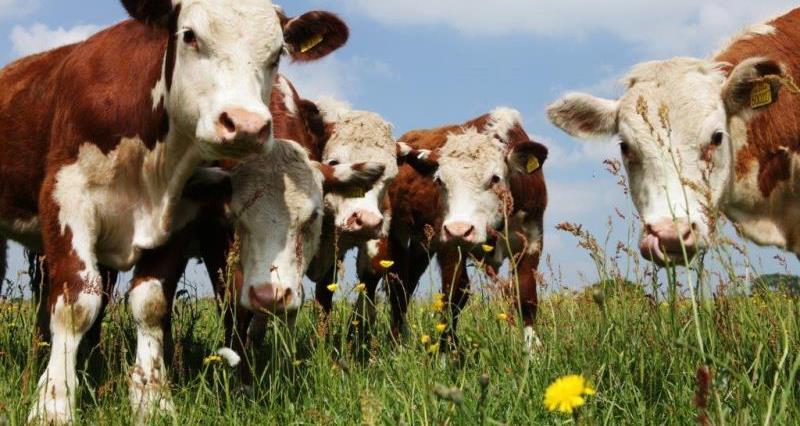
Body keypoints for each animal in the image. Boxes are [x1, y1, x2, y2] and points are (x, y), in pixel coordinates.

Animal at [0, 1, 348, 422]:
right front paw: (53, 403)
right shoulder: (67, 200)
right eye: (190, 35)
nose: (246, 124)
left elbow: (152, 304)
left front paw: (153, 401)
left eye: (278, 52)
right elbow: (75, 304)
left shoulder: (180, 216)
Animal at [353, 108, 549, 354]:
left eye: (495, 178)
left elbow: (525, 296)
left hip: (421, 246)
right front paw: (447, 352)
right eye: (439, 180)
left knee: (405, 286)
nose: (459, 229)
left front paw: (532, 353)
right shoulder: (449, 245)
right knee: (380, 283)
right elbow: (454, 294)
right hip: (390, 237)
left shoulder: (531, 242)